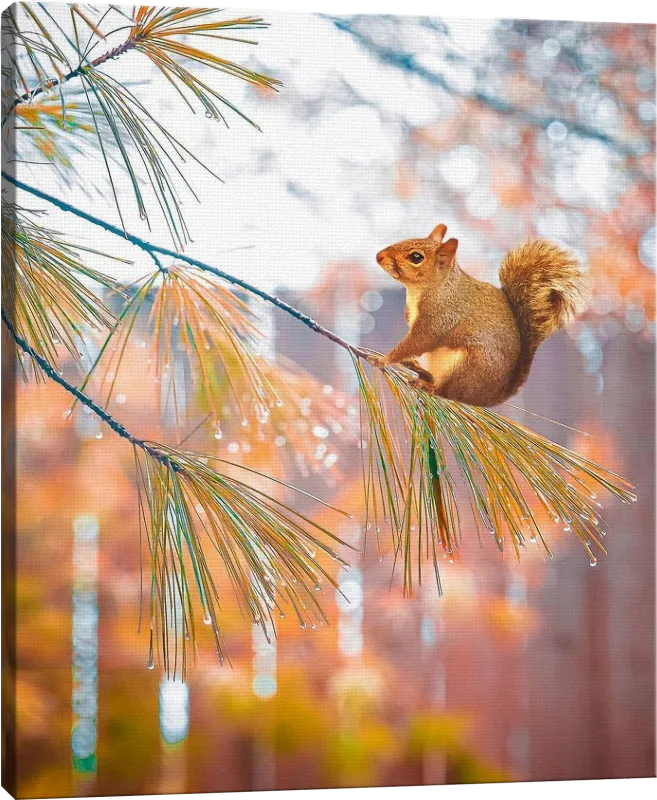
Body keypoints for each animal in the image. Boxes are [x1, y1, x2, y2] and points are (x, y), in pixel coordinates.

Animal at [374, 223, 589, 407]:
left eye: (416, 257)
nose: (379, 256)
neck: (432, 289)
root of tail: (491, 397)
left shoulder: (440, 317)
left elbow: (418, 342)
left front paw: (383, 360)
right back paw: (418, 370)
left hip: (467, 368)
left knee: (449, 392)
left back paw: (427, 385)